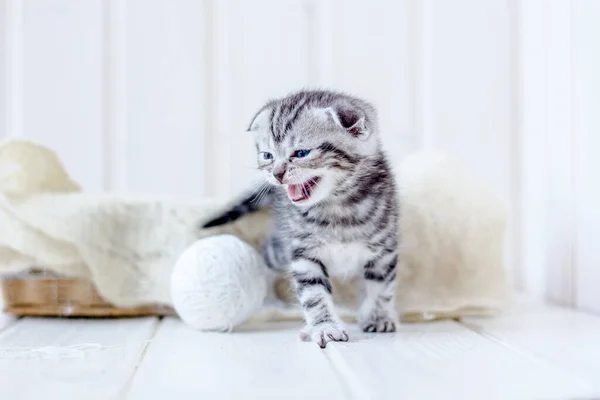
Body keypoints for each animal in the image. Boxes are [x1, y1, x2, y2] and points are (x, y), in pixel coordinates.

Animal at [204, 90, 400, 346]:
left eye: (301, 153)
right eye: (267, 155)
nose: (276, 174)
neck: (337, 206)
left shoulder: (384, 250)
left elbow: (381, 287)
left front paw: (378, 316)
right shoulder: (303, 252)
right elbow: (314, 294)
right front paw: (325, 326)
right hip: (280, 247)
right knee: (266, 256)